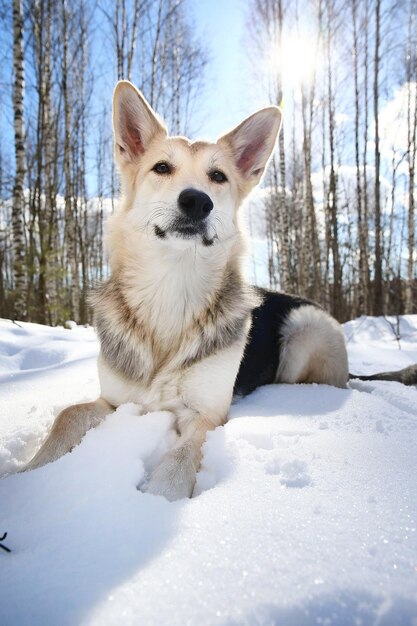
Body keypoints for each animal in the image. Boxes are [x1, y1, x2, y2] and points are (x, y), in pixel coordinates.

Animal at [26, 79, 416, 498]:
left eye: (218, 176)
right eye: (161, 168)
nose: (197, 200)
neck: (172, 291)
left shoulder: (205, 415)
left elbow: (178, 462)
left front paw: (156, 502)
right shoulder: (114, 401)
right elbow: (67, 416)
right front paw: (26, 474)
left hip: (303, 331)